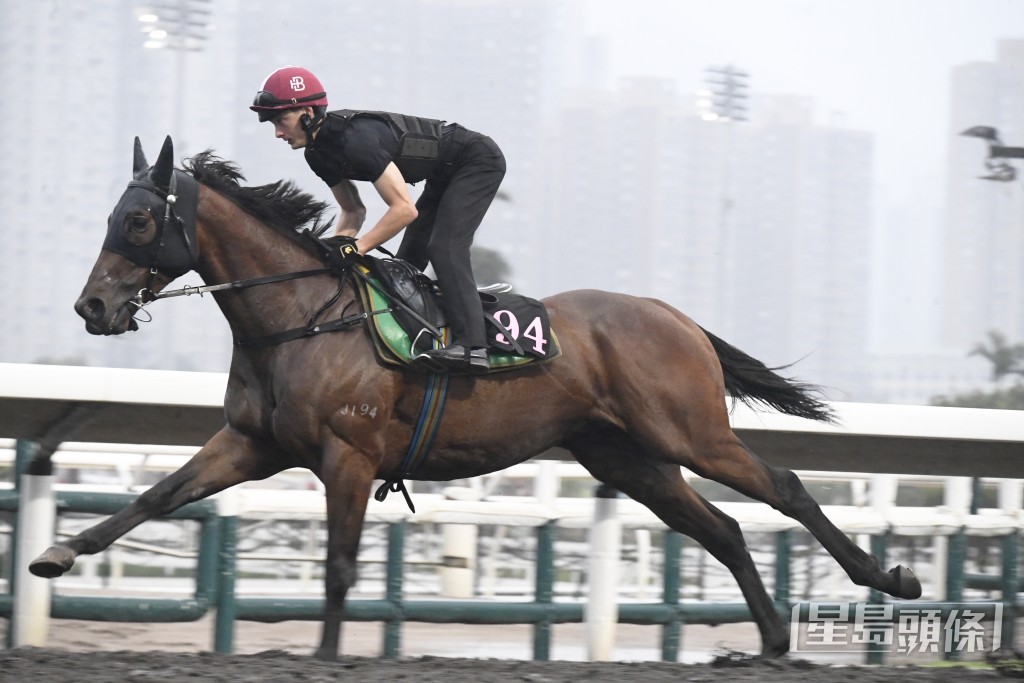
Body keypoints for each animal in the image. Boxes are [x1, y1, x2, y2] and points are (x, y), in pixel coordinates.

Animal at [30, 136, 921, 661]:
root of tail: (676, 317)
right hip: (628, 458)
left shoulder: (349, 456)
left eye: (139, 221)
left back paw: (888, 578)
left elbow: (341, 565)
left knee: (786, 488)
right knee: (726, 528)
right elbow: (155, 496)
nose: (92, 307)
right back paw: (768, 641)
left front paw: (324, 656)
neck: (297, 317)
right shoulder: (252, 443)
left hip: (689, 431)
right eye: (113, 214)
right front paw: (57, 552)